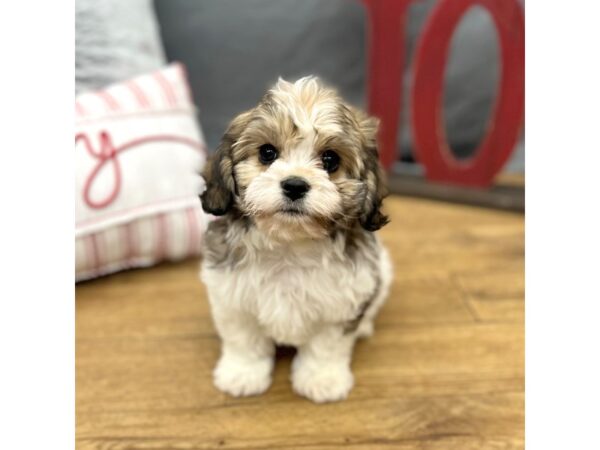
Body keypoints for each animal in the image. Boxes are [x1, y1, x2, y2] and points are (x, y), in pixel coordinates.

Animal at [199, 75, 392, 402]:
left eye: (330, 160)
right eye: (267, 153)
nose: (294, 185)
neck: (290, 245)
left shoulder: (341, 304)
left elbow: (326, 346)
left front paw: (322, 379)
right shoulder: (232, 298)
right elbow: (244, 340)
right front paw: (242, 374)